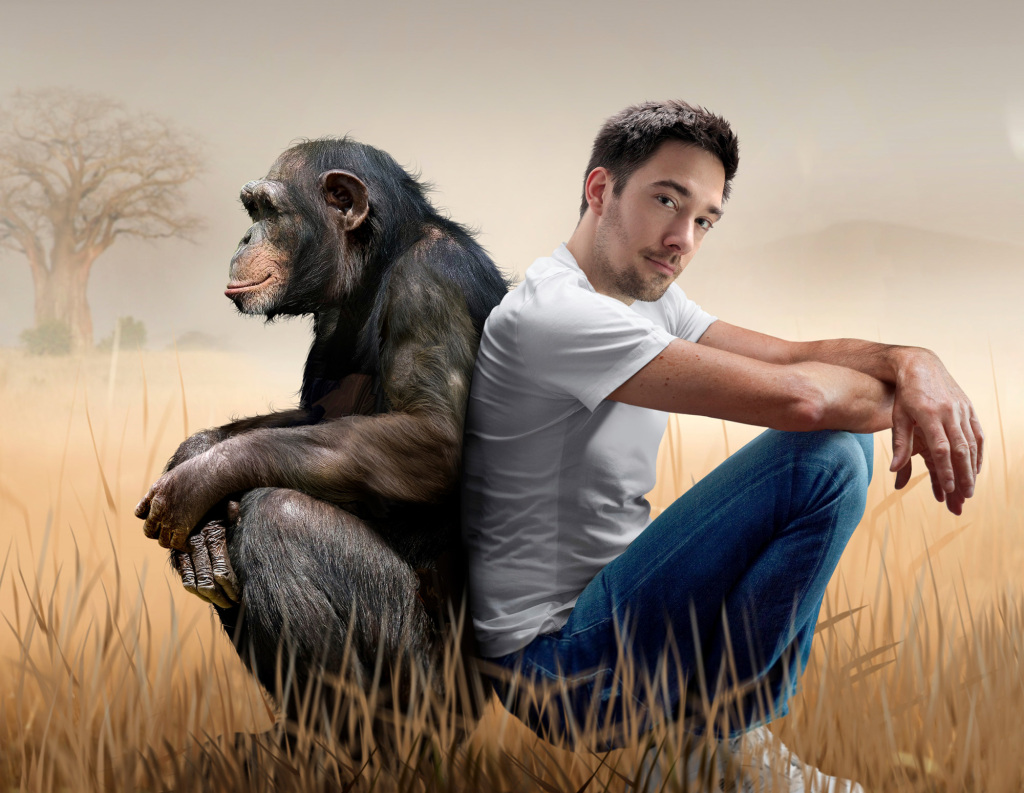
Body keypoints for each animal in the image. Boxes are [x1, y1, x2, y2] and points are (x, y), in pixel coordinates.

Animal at [134, 137, 511, 745]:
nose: (243, 238)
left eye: (267, 210)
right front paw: (197, 457)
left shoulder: (433, 285)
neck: (376, 263)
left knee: (280, 519)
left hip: (426, 693)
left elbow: (432, 439)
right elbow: (311, 416)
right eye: (251, 211)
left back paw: (341, 747)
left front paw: (201, 477)